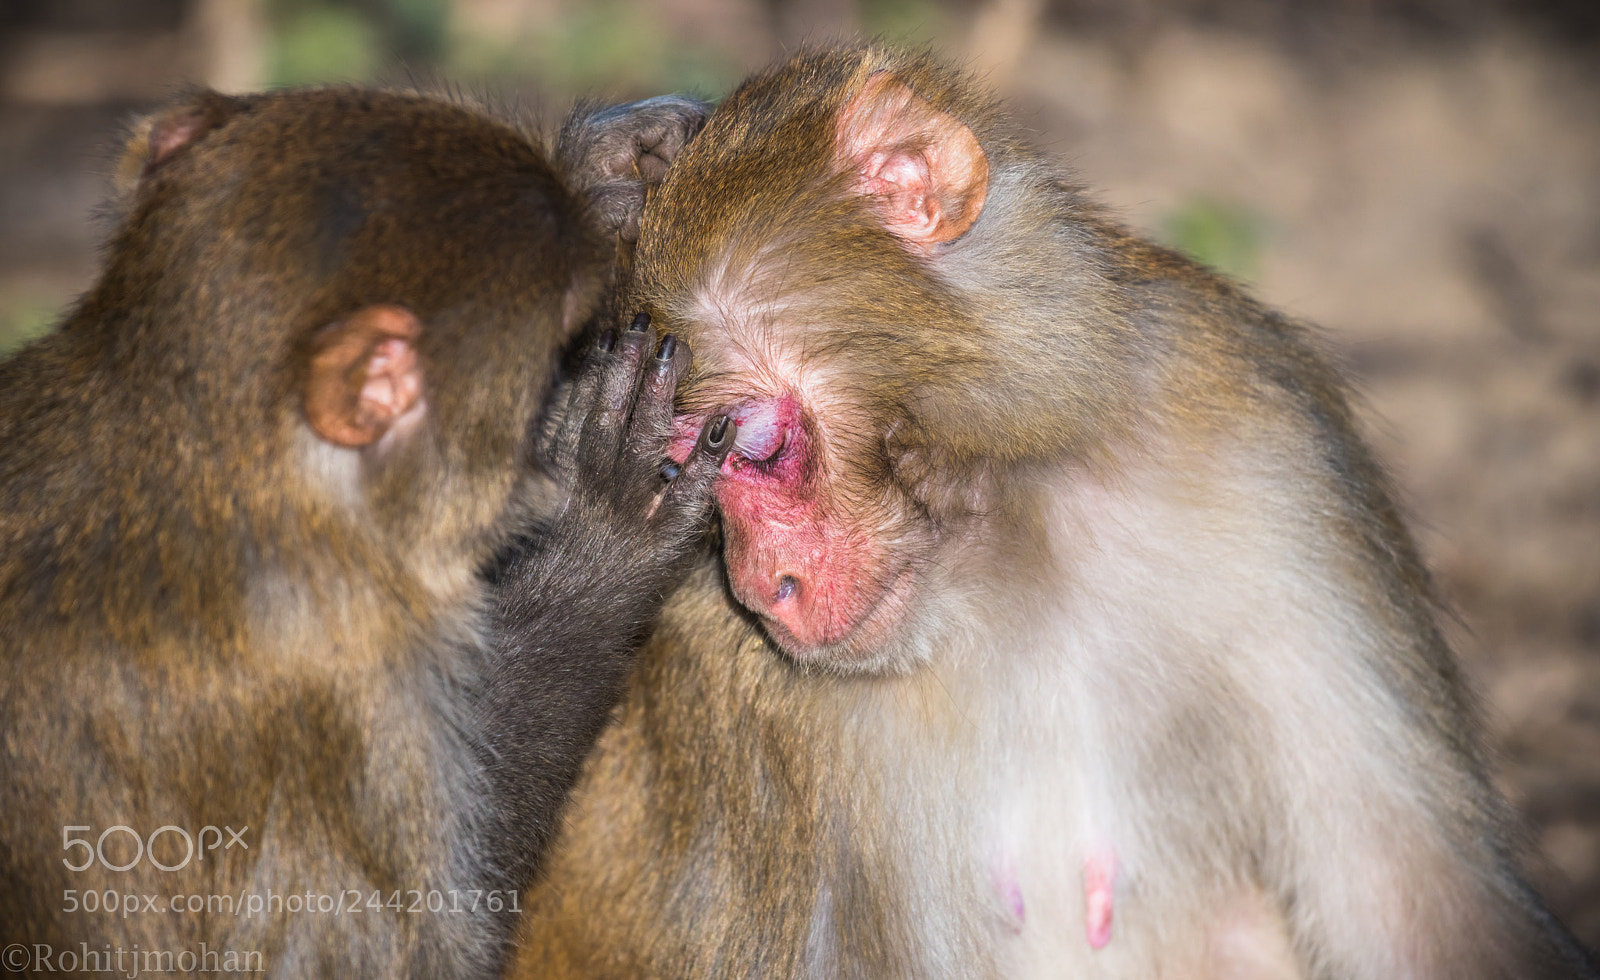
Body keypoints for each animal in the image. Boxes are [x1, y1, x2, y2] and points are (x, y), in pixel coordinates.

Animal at [510, 46, 1600, 979]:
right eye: (690, 465)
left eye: (742, 439)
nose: (761, 582)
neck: (1011, 537)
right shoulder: (739, 681)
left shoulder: (1263, 443)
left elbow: (1422, 908)